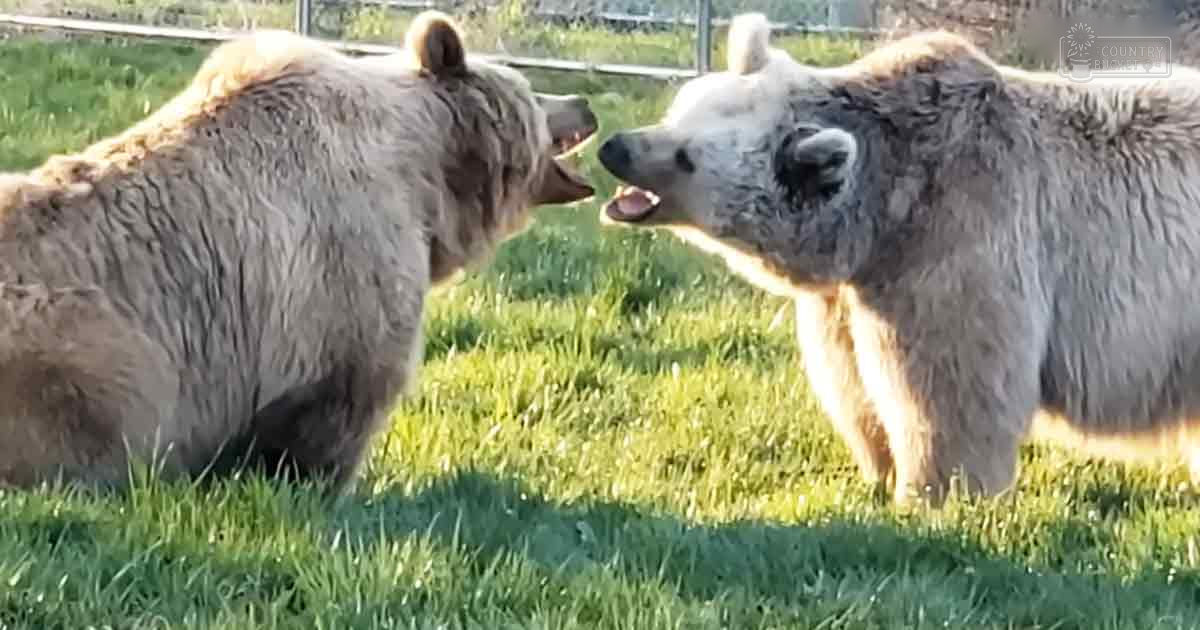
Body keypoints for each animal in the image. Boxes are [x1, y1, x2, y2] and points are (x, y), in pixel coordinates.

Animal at [0, 11, 597, 494]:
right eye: (533, 92)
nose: (583, 102)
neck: (429, 180)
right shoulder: (339, 269)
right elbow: (339, 401)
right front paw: (320, 484)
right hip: (84, 343)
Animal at [596, 12, 1200, 506]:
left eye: (686, 157)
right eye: (678, 110)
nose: (615, 147)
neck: (883, 213)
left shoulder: (958, 236)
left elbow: (950, 388)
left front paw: (936, 492)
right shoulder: (851, 293)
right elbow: (852, 382)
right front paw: (877, 469)